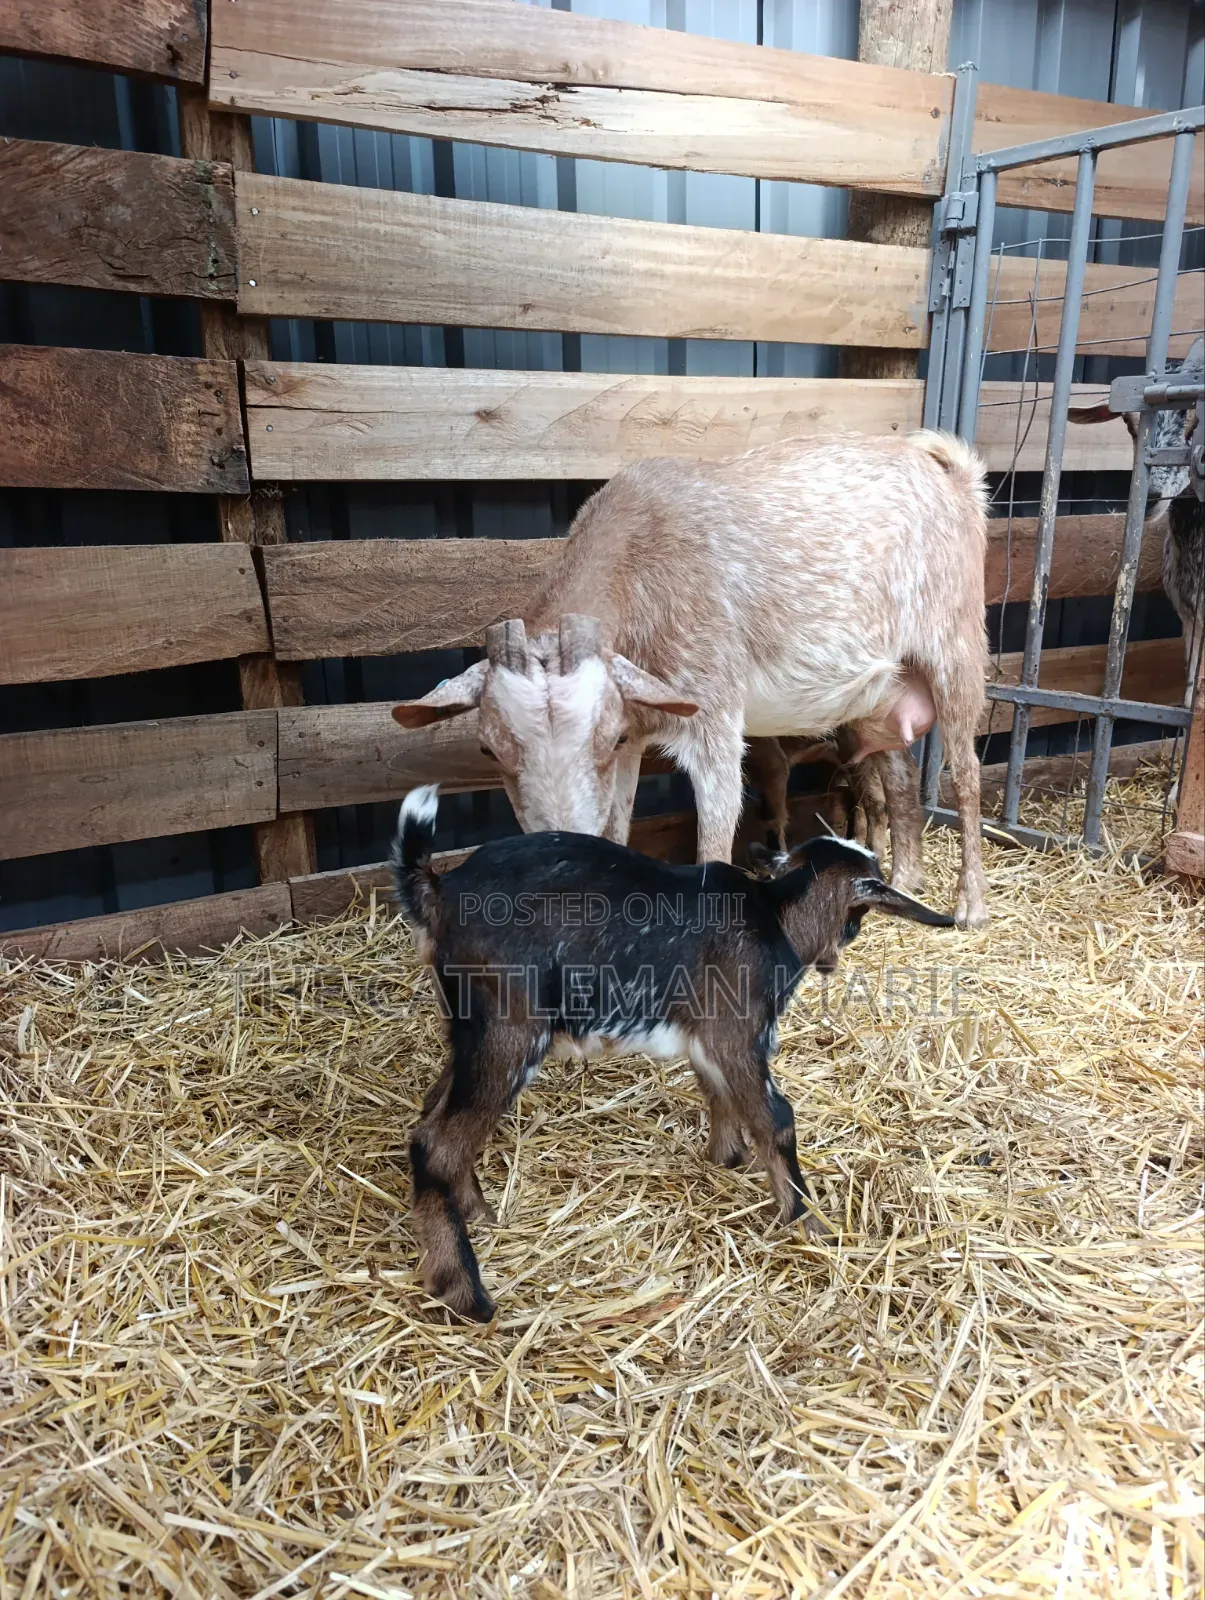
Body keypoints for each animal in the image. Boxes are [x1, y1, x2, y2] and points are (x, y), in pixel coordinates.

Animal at [391, 785, 954, 1323]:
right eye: (864, 902)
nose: (834, 960)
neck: (775, 917)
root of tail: (438, 889)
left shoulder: (708, 1041)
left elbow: (719, 1095)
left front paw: (728, 1159)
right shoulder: (737, 1032)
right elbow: (775, 1118)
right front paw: (810, 1223)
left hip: (469, 1032)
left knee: (431, 1114)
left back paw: (478, 1213)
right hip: (510, 1030)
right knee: (436, 1144)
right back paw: (465, 1292)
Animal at [393, 431, 990, 926]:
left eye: (606, 738)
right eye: (488, 749)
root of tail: (955, 480)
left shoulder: (713, 714)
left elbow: (715, 837)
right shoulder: (637, 726)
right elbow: (618, 827)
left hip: (955, 642)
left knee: (966, 772)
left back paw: (969, 906)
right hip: (880, 692)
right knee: (898, 774)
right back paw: (904, 880)